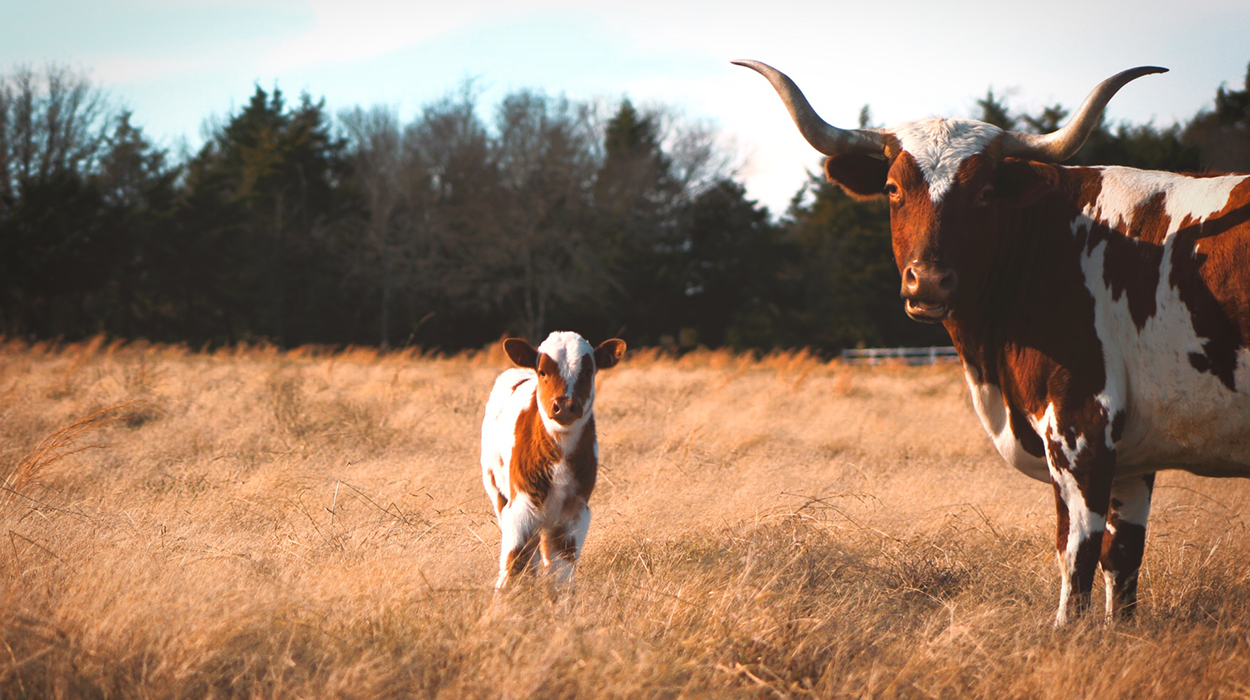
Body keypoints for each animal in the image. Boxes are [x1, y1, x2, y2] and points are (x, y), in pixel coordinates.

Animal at [485, 332, 630, 590]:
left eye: (588, 371)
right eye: (543, 371)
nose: (564, 406)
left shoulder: (575, 511)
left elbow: (562, 570)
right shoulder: (521, 505)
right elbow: (516, 561)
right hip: (497, 490)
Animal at [735, 60, 1250, 625]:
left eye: (983, 193)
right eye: (892, 188)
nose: (928, 281)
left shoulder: (1081, 427)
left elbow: (1076, 555)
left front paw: (1065, 633)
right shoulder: (1134, 457)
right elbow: (1123, 561)